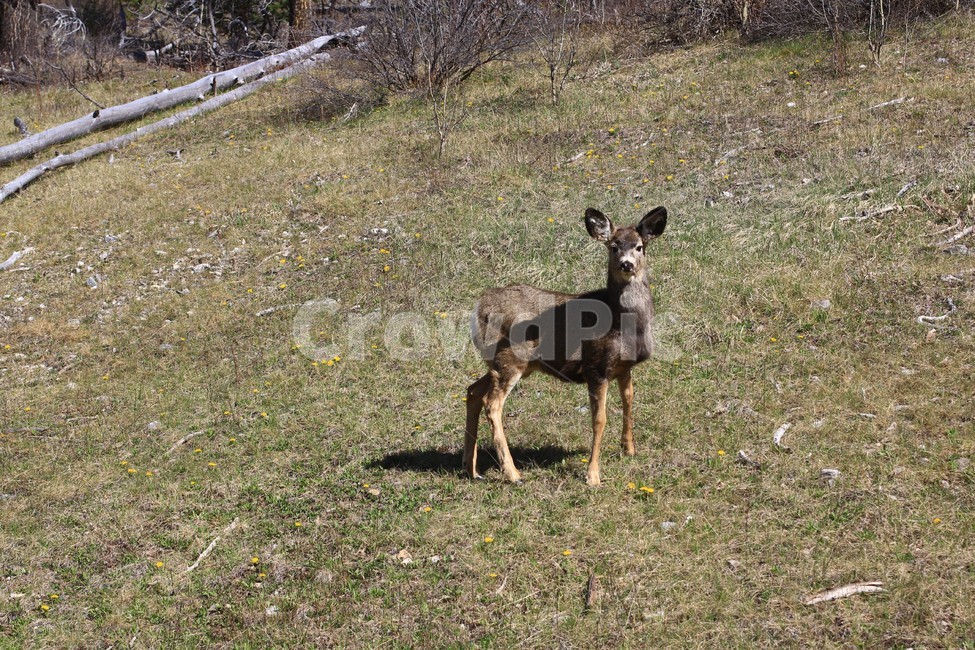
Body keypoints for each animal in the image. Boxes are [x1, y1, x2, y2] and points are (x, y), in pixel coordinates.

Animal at [465, 206, 668, 486]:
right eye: (613, 246)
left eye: (639, 247)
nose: (626, 264)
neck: (622, 322)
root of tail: (478, 309)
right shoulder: (596, 366)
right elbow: (599, 419)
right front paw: (593, 475)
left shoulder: (624, 367)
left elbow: (629, 401)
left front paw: (629, 449)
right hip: (511, 359)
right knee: (492, 403)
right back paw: (513, 473)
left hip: (503, 363)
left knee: (472, 391)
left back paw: (471, 469)